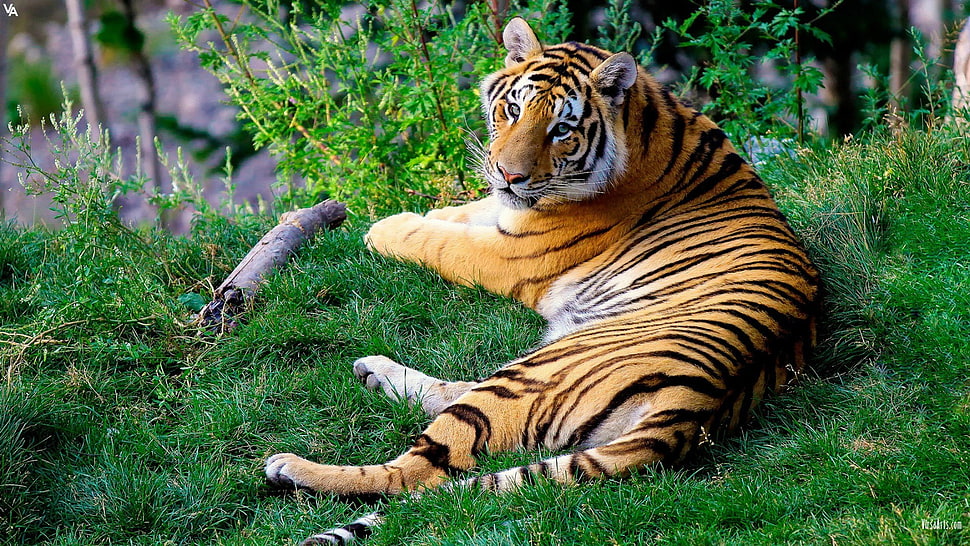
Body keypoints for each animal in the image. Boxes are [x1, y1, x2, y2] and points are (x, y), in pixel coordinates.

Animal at [265, 17, 820, 545]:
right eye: (512, 110)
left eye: (560, 129)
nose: (510, 176)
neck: (647, 123)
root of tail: (696, 406)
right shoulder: (506, 214)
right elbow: (467, 212)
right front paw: (433, 210)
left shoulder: (511, 252)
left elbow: (439, 241)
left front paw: (385, 227)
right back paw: (374, 371)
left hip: (535, 372)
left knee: (419, 472)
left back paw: (291, 467)